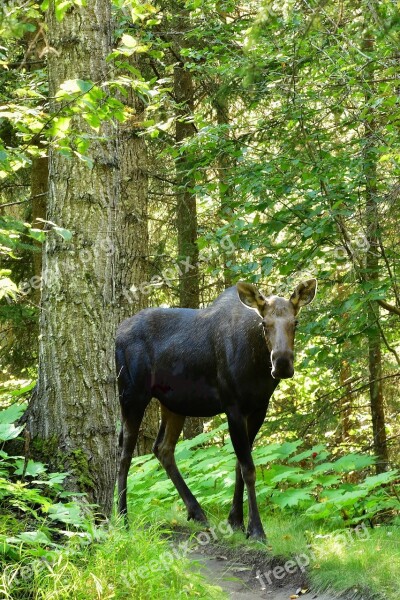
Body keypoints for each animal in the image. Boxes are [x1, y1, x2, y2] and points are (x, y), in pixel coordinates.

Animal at [115, 278, 316, 540]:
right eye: (264, 323)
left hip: (174, 403)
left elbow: (239, 466)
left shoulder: (259, 408)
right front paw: (256, 529)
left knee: (162, 448)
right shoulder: (233, 406)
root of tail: (117, 333)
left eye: (296, 322)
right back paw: (122, 517)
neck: (257, 366)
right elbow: (248, 468)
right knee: (125, 452)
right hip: (132, 394)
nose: (282, 364)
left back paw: (197, 511)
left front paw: (236, 521)